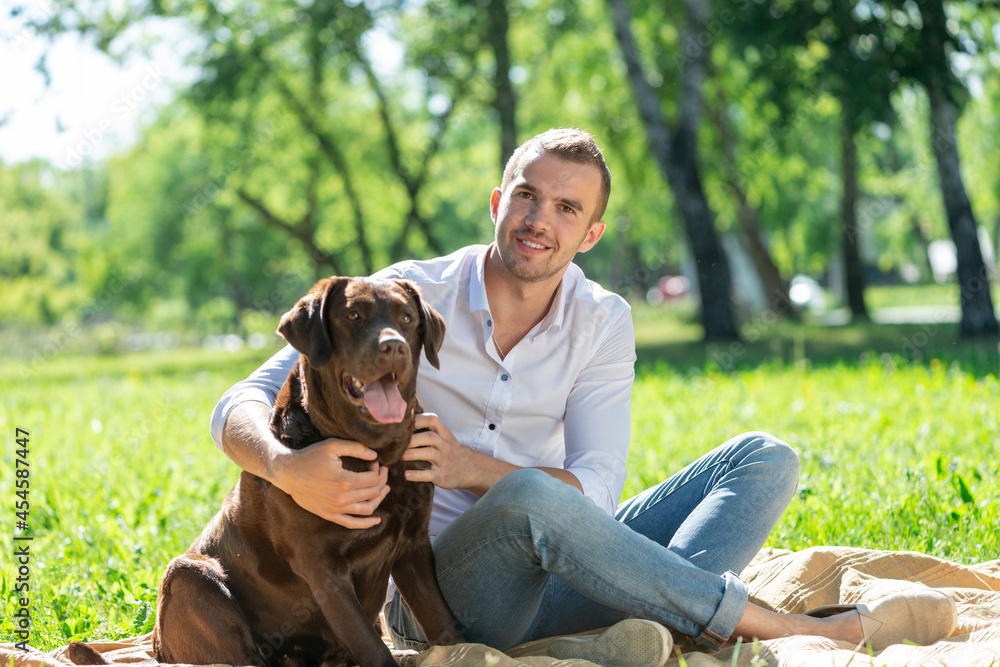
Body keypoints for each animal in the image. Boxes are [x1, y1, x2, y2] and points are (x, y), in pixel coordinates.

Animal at [147, 278, 460, 667]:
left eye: (406, 317)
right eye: (353, 315)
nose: (394, 347)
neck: (378, 454)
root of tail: (157, 645)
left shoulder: (413, 544)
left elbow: (443, 623)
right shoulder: (324, 570)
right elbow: (373, 649)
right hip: (189, 576)